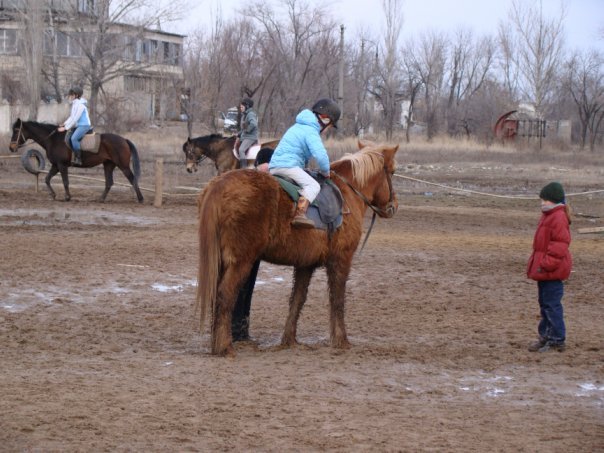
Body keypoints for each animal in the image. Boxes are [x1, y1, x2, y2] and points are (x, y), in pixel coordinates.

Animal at [8, 118, 143, 201]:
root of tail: (124, 140)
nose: (11, 147)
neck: (53, 139)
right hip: (108, 165)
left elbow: (65, 182)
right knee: (109, 182)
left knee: (132, 179)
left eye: (16, 130)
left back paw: (140, 199)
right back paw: (101, 199)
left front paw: (67, 197)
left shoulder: (61, 165)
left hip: (123, 165)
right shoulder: (55, 165)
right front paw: (53, 194)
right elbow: (47, 179)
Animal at [196, 140, 398, 354]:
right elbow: (337, 299)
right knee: (225, 295)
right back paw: (224, 347)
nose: (393, 205)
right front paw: (341, 340)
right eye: (393, 171)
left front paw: (289, 339)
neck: (347, 192)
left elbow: (297, 299)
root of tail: (220, 185)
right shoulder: (341, 260)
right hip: (240, 262)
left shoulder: (305, 264)